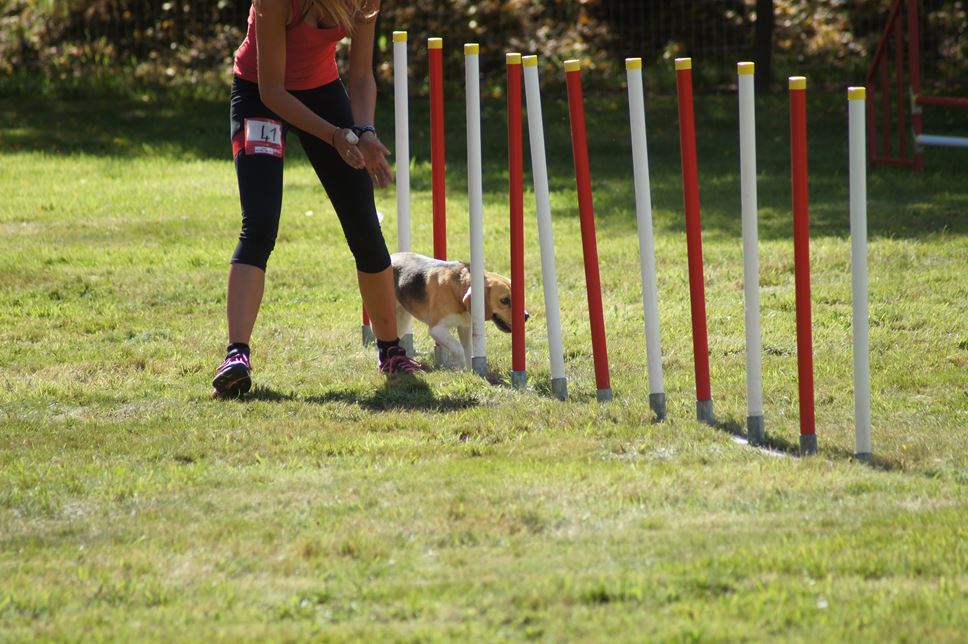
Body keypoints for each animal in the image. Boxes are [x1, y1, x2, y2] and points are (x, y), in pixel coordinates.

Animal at [392, 252, 528, 368]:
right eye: (504, 300)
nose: (526, 316)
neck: (455, 291)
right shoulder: (437, 329)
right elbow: (458, 348)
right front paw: (461, 368)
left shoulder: (464, 327)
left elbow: (468, 351)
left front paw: (470, 373)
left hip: (402, 320)